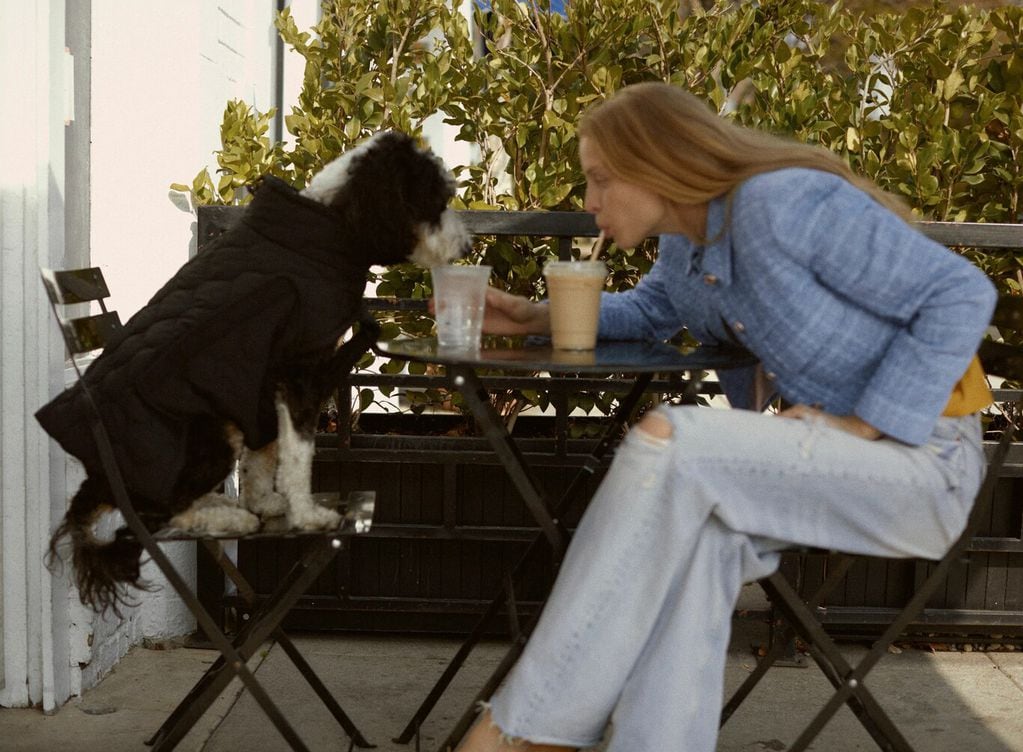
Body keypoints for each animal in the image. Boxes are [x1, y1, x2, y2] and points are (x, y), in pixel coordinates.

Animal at [37, 130, 470, 613]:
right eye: (436, 202)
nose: (467, 247)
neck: (331, 223)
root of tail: (98, 479)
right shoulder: (300, 373)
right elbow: (298, 452)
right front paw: (307, 514)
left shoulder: (262, 383)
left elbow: (264, 454)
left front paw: (266, 503)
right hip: (208, 431)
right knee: (160, 514)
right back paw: (226, 517)